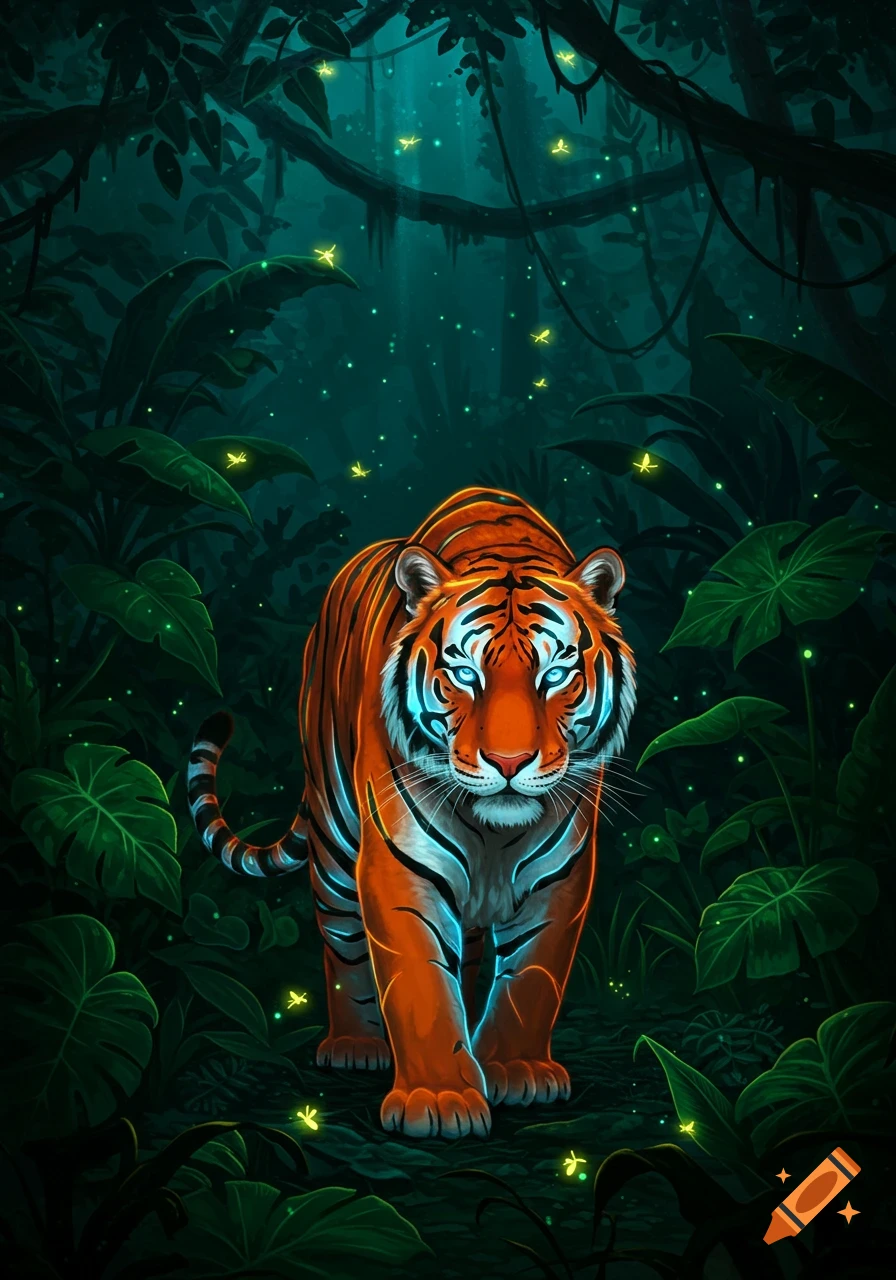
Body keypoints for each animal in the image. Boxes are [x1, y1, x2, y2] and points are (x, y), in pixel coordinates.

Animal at [187, 487, 636, 1140]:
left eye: (555, 674)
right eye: (464, 673)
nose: (508, 761)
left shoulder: (561, 876)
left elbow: (533, 977)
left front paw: (516, 1071)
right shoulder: (400, 869)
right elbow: (421, 981)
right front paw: (440, 1100)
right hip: (333, 842)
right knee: (342, 942)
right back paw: (354, 1046)